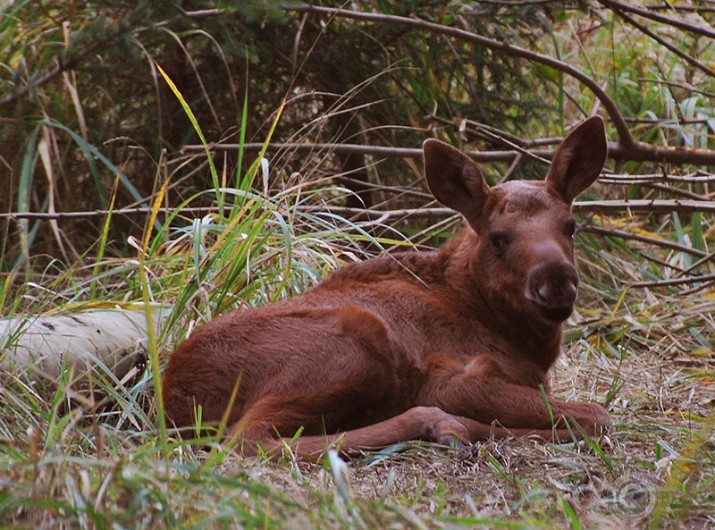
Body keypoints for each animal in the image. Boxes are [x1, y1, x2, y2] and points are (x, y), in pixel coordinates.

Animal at [164, 115, 616, 454]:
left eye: (570, 226)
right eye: (498, 238)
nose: (556, 282)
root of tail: (172, 403)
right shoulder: (453, 378)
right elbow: (598, 415)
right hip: (356, 343)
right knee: (249, 438)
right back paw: (439, 424)